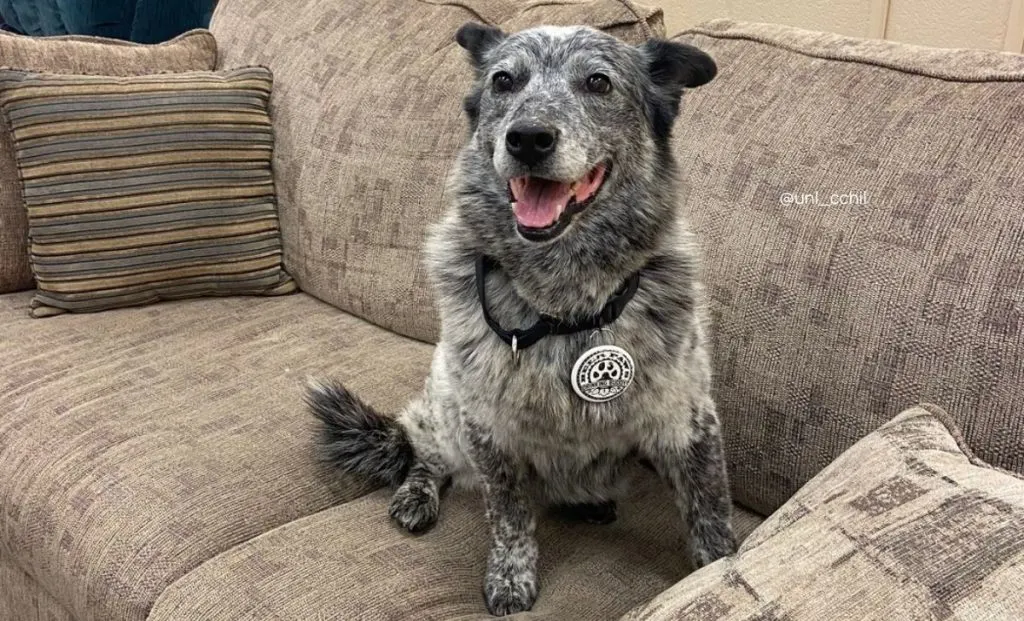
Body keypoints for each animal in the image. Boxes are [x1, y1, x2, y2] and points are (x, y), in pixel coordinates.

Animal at [305, 21, 737, 614]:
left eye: (598, 82)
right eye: (504, 80)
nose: (528, 139)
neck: (563, 305)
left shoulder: (687, 417)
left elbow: (709, 509)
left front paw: (720, 566)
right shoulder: (490, 431)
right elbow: (509, 515)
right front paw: (510, 578)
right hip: (445, 409)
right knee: (425, 453)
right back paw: (416, 494)